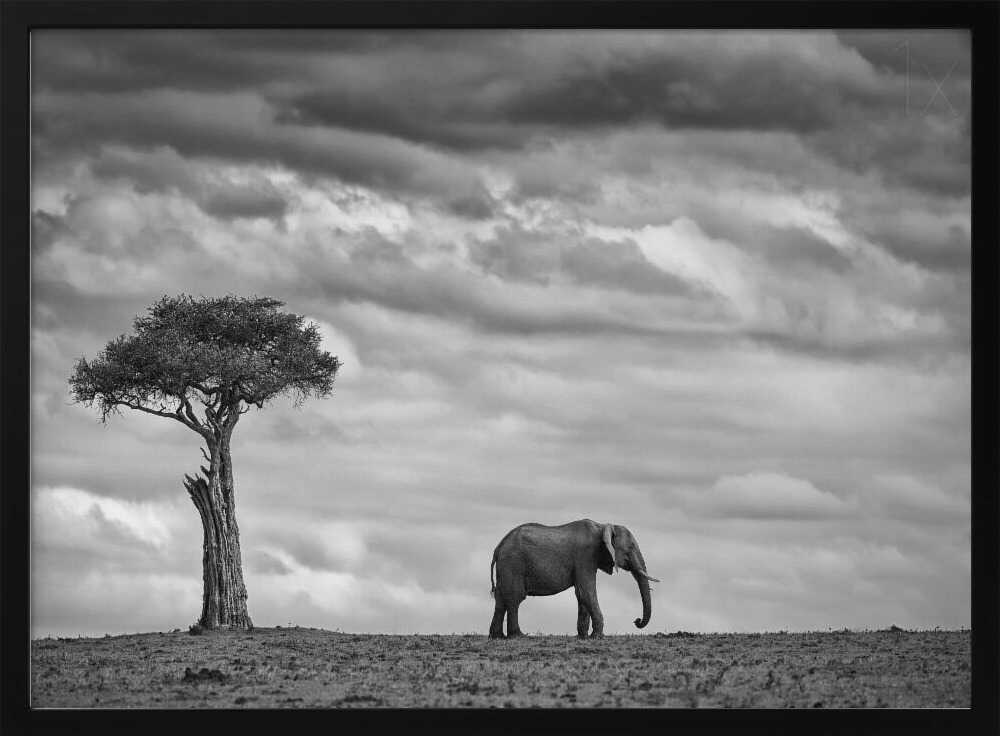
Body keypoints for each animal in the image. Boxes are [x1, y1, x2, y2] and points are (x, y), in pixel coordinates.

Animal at [488, 519, 659, 639]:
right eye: (630, 548)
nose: (636, 621)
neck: (602, 526)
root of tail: (498, 548)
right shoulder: (585, 556)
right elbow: (586, 591)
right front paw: (597, 637)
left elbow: (582, 594)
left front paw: (583, 636)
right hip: (513, 564)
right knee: (515, 598)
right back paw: (518, 636)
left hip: (506, 567)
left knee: (500, 599)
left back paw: (497, 636)